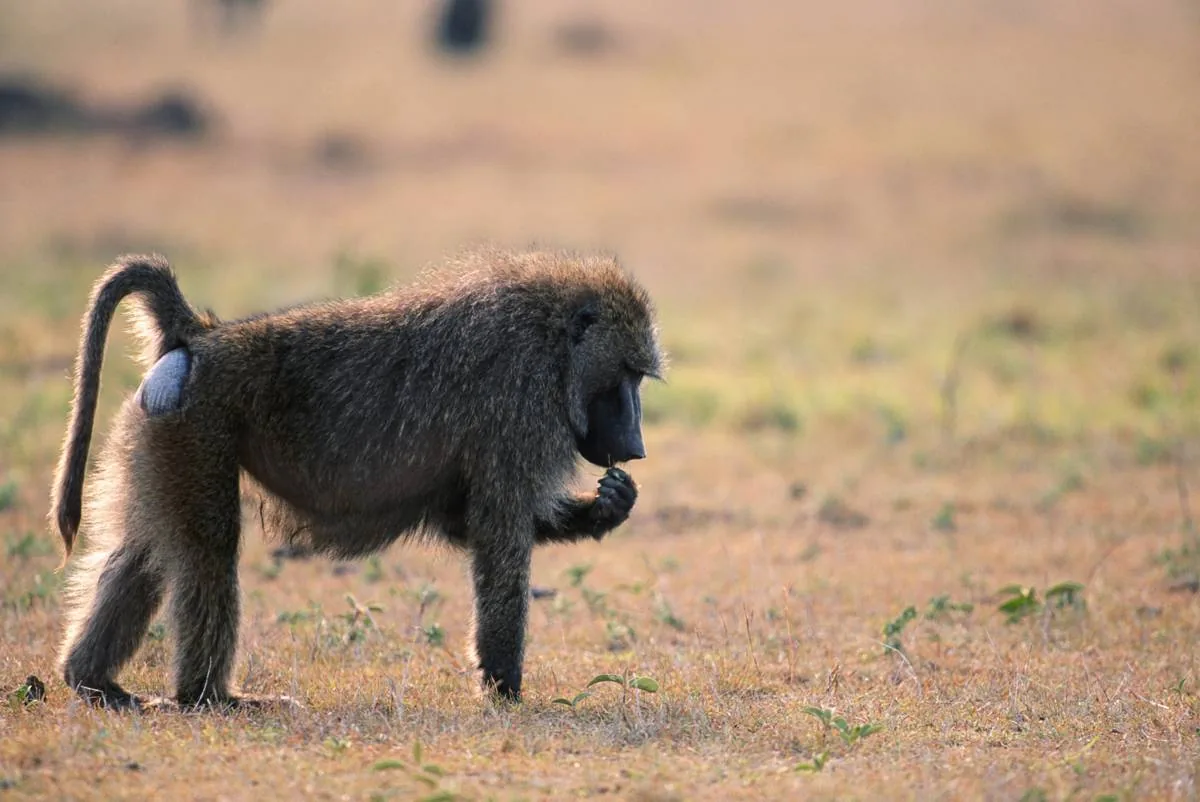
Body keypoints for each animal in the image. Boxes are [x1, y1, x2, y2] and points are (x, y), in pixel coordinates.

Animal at [52, 249, 663, 710]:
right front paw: (503, 687)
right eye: (627, 375)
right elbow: (498, 538)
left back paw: (93, 681)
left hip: (158, 431)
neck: (553, 343)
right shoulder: (520, 405)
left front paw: (611, 504)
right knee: (207, 551)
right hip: (198, 428)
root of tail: (202, 337)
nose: (636, 448)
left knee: (143, 553)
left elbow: (463, 521)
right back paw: (209, 697)